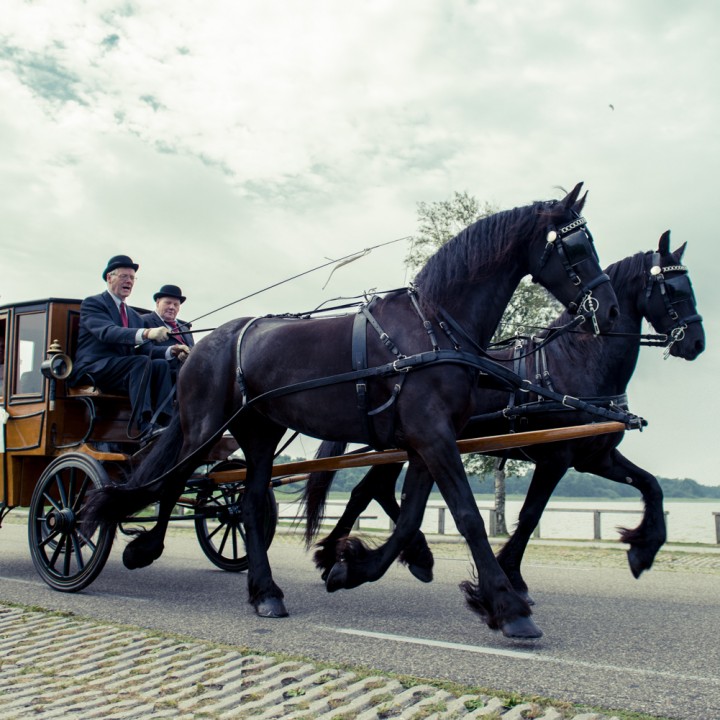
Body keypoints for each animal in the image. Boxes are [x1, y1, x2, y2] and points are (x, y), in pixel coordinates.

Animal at [83, 183, 620, 640]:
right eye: (577, 247)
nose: (610, 310)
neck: (433, 328)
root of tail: (198, 346)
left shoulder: (427, 440)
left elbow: (410, 518)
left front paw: (351, 568)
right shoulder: (432, 436)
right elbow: (466, 515)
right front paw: (509, 610)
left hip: (258, 431)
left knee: (247, 503)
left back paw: (265, 593)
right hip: (205, 427)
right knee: (172, 481)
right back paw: (136, 544)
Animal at [302, 232, 704, 600]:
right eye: (674, 288)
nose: (697, 342)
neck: (575, 361)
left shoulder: (596, 457)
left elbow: (651, 485)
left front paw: (643, 549)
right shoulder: (556, 457)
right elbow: (530, 515)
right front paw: (511, 575)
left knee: (373, 490)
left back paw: (392, 555)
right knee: (366, 491)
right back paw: (347, 555)